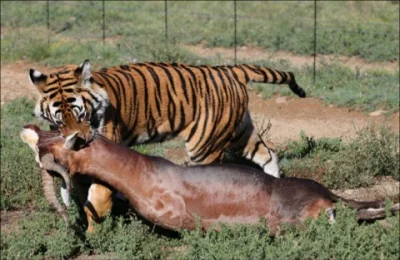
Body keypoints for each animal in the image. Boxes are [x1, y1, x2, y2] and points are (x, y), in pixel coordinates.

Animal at [28, 60, 306, 232]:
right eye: (60, 121)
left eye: (82, 114)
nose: (81, 141)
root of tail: (231, 70)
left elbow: (97, 197)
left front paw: (97, 231)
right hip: (241, 133)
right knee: (269, 155)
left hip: (205, 146)